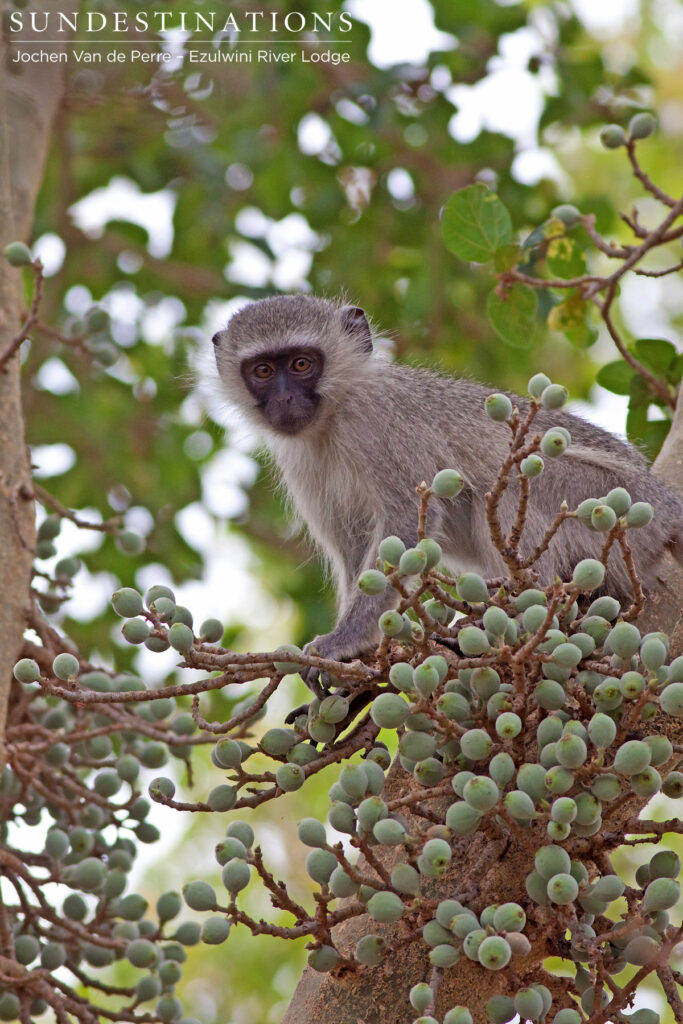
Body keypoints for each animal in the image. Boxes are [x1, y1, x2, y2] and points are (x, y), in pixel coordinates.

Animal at [211, 294, 683, 697]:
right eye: (263, 371)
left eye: (301, 363)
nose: (286, 399)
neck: (333, 415)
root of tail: (663, 503)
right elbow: (353, 547)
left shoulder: (379, 420)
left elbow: (404, 521)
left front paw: (343, 641)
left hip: (609, 500)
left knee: (509, 484)